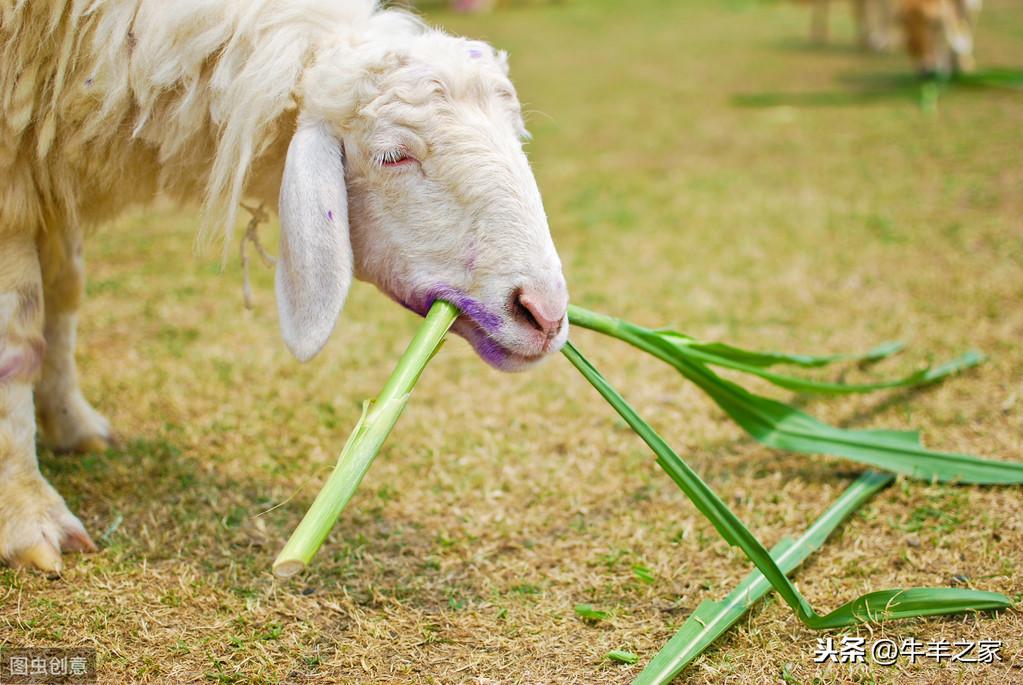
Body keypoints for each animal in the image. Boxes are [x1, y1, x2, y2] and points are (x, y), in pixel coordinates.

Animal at [0, 0, 568, 572]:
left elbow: (65, 291)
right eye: (392, 156)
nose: (545, 315)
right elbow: (17, 336)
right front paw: (30, 517)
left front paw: (73, 425)